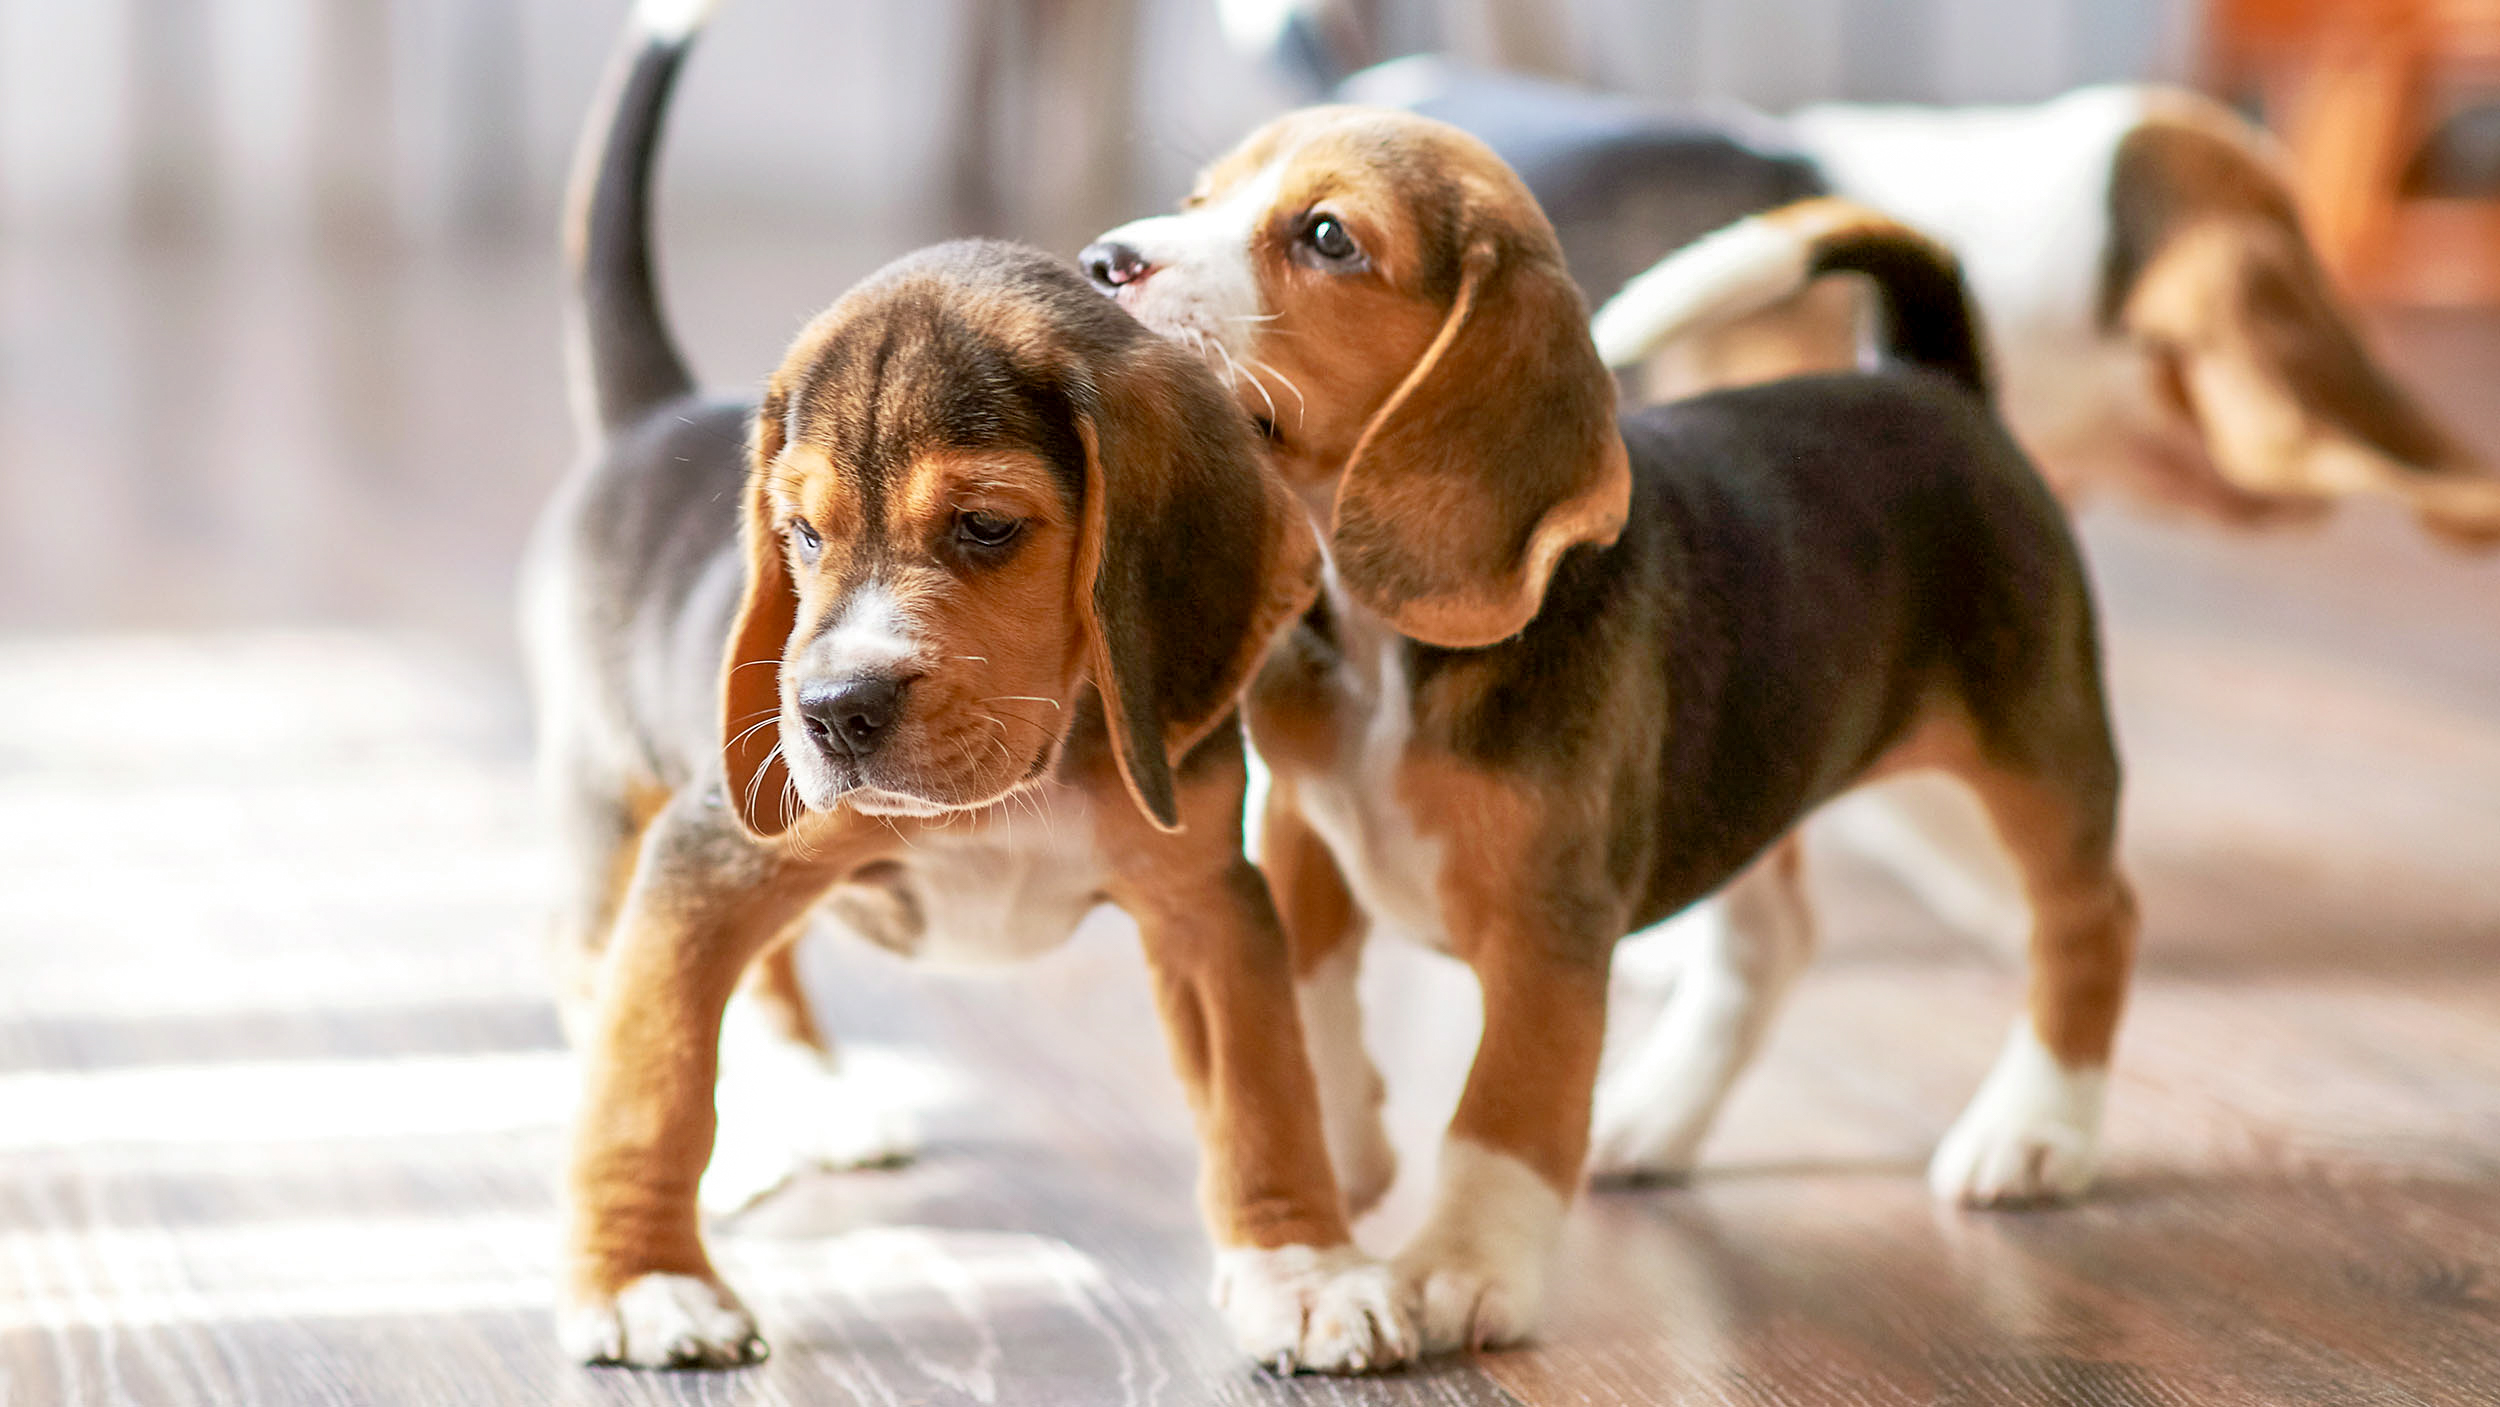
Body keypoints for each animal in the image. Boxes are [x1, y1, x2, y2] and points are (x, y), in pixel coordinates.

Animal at [517, 2, 1420, 1379]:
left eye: (987, 527)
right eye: (800, 536)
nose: (832, 713)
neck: (1020, 780)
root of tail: (652, 417)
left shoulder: (1207, 898)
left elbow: (1266, 1095)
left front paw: (1301, 1267)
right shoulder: (706, 854)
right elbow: (651, 1080)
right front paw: (642, 1281)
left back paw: (812, 1097)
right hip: (619, 813)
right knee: (605, 988)